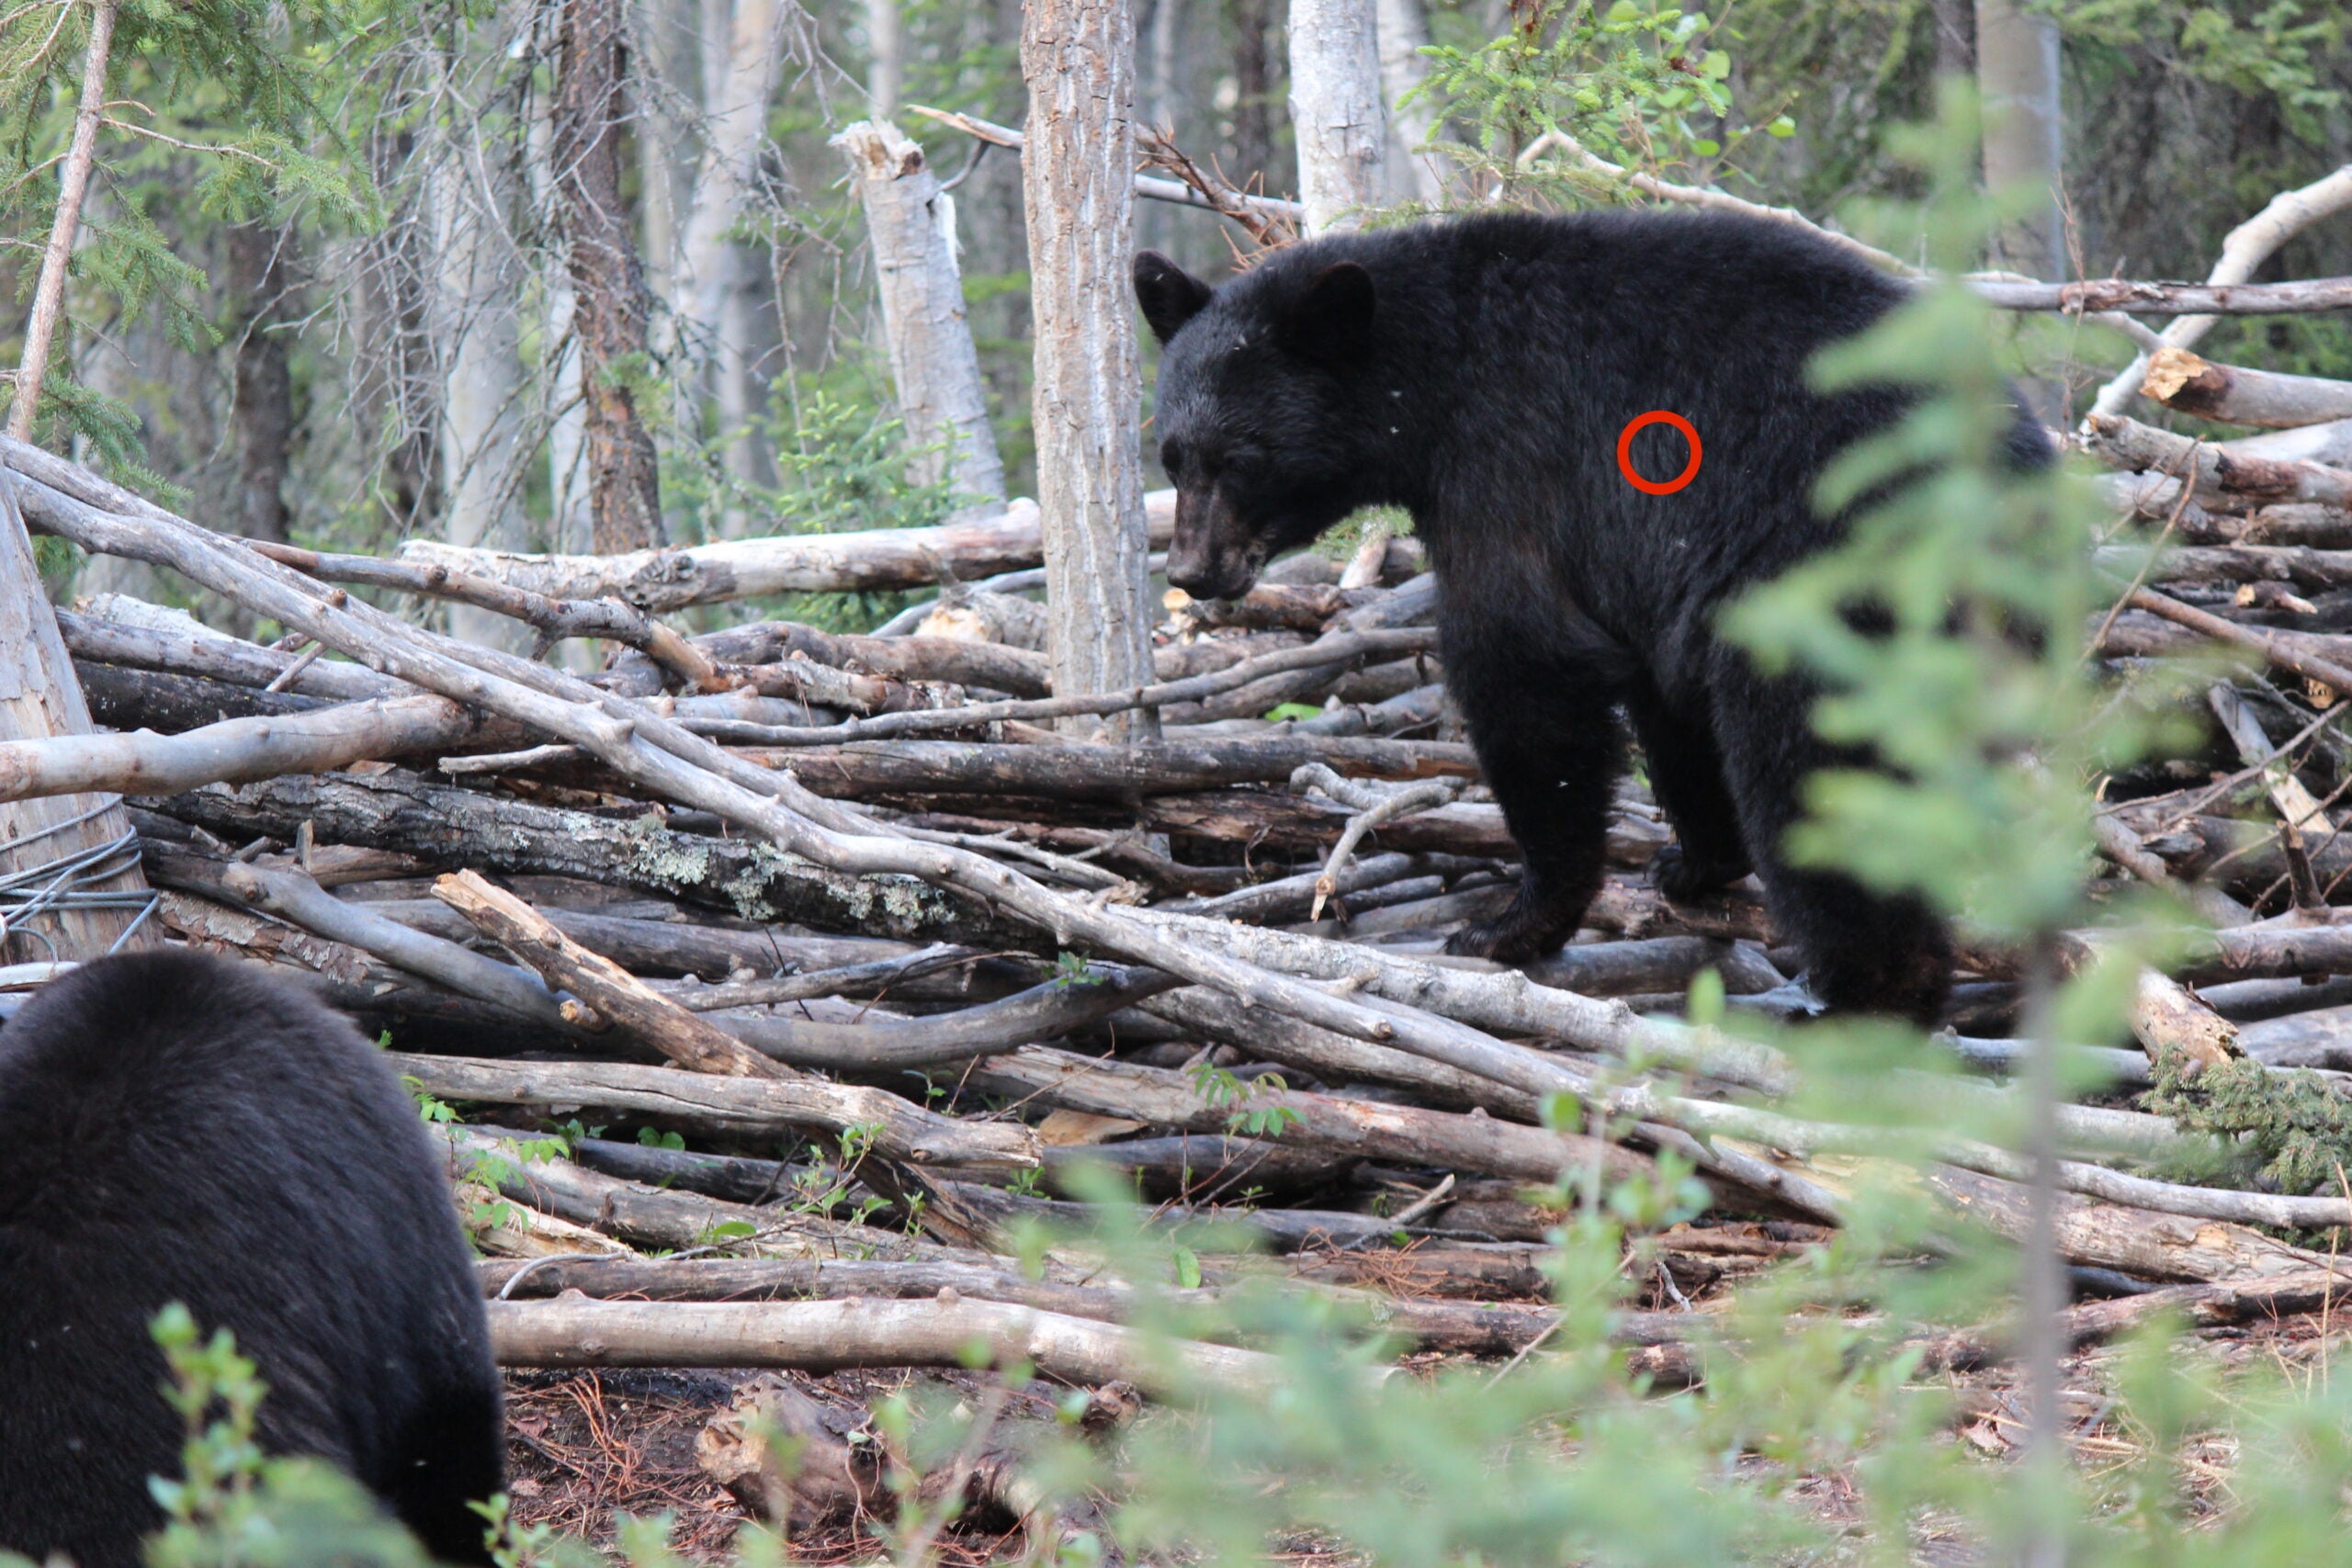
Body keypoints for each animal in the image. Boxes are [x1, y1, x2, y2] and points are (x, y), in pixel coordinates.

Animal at [1128, 211, 2051, 1020]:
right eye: (1173, 455)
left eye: (1241, 459)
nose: (1194, 572)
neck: (1428, 377)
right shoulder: (1654, 563)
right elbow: (1664, 698)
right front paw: (1697, 861)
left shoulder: (1508, 467)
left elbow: (1522, 663)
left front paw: (1514, 921)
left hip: (1834, 572)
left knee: (1820, 769)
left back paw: (1867, 1002)